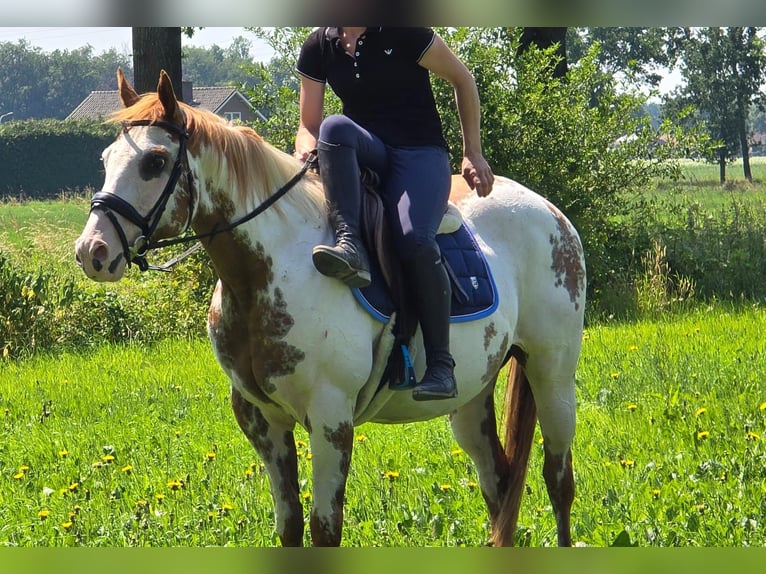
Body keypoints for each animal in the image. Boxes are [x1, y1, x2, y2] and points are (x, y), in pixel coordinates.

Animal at [74, 69, 586, 547]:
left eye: (155, 161)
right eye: (105, 160)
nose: (92, 251)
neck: (272, 268)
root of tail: (551, 213)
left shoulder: (330, 419)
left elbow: (325, 530)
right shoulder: (262, 419)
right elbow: (290, 527)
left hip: (552, 377)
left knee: (558, 481)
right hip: (471, 396)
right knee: (498, 484)